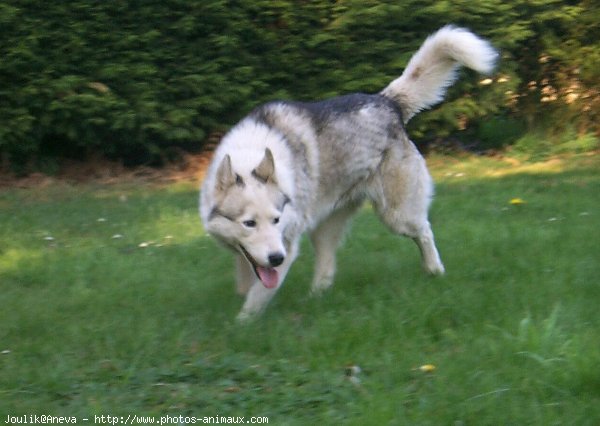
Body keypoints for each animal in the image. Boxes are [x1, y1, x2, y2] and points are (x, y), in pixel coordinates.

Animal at [200, 25, 496, 320]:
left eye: (276, 220)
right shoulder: (250, 252)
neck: (247, 154)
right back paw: (315, 299)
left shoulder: (288, 242)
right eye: (249, 223)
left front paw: (242, 323)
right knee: (327, 266)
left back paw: (434, 270)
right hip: (325, 226)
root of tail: (387, 102)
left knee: (424, 231)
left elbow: (258, 295)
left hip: (398, 216)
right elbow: (247, 279)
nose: (277, 258)